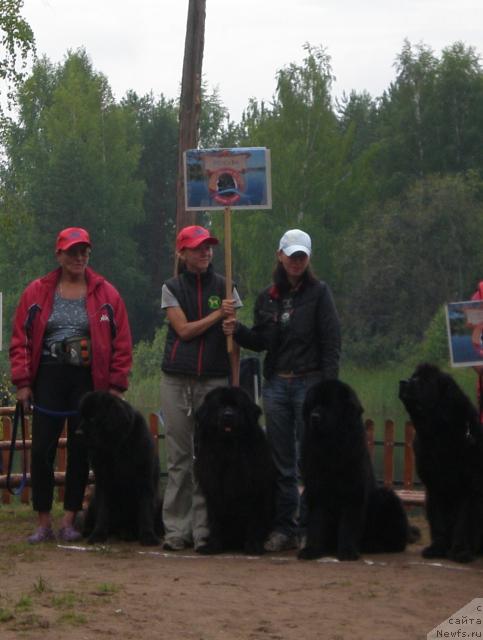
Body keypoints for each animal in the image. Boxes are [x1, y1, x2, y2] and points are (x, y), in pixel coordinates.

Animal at [78, 390, 164, 544]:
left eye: (93, 418)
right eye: (81, 416)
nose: (77, 433)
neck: (117, 447)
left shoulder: (145, 479)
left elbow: (145, 510)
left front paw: (148, 536)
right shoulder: (103, 481)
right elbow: (103, 511)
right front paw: (98, 535)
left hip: (160, 501)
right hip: (92, 501)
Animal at [194, 384, 276, 556]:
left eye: (237, 406)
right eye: (219, 405)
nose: (228, 415)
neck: (228, 450)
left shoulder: (254, 490)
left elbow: (254, 520)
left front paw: (253, 546)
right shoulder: (213, 489)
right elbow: (215, 520)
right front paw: (212, 546)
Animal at [300, 380, 414, 560]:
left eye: (330, 405)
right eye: (313, 404)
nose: (314, 416)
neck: (330, 448)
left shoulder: (353, 492)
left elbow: (349, 524)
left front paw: (347, 552)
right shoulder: (317, 491)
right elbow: (316, 523)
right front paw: (312, 550)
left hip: (387, 498)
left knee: (397, 542)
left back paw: (374, 545)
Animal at [398, 362, 483, 564]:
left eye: (425, 381)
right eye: (413, 376)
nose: (403, 382)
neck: (438, 435)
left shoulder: (470, 488)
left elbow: (463, 523)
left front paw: (460, 552)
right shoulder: (434, 487)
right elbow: (438, 522)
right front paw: (437, 549)